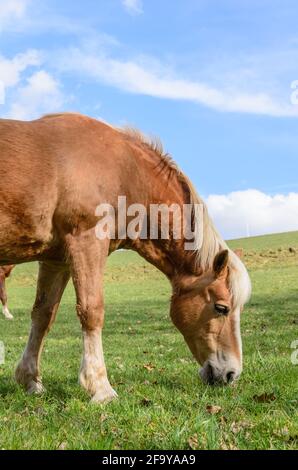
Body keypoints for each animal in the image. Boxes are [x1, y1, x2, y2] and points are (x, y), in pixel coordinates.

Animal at [0, 114, 251, 404]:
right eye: (221, 308)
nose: (231, 374)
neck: (124, 171)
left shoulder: (56, 260)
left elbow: (43, 315)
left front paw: (30, 380)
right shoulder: (87, 243)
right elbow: (92, 311)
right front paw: (100, 387)